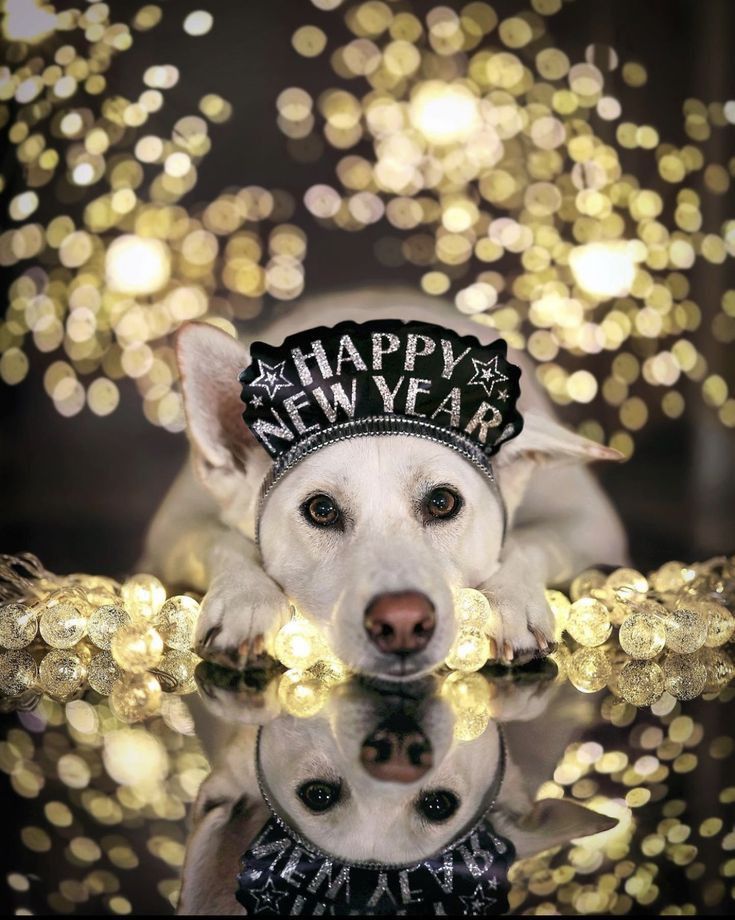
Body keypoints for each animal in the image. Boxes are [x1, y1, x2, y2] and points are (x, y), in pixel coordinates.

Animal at [144, 288, 628, 676]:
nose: (402, 623)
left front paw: (508, 602)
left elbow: (532, 541)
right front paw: (247, 600)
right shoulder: (173, 530)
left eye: (442, 503)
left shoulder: (591, 523)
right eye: (321, 510)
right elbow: (220, 540)